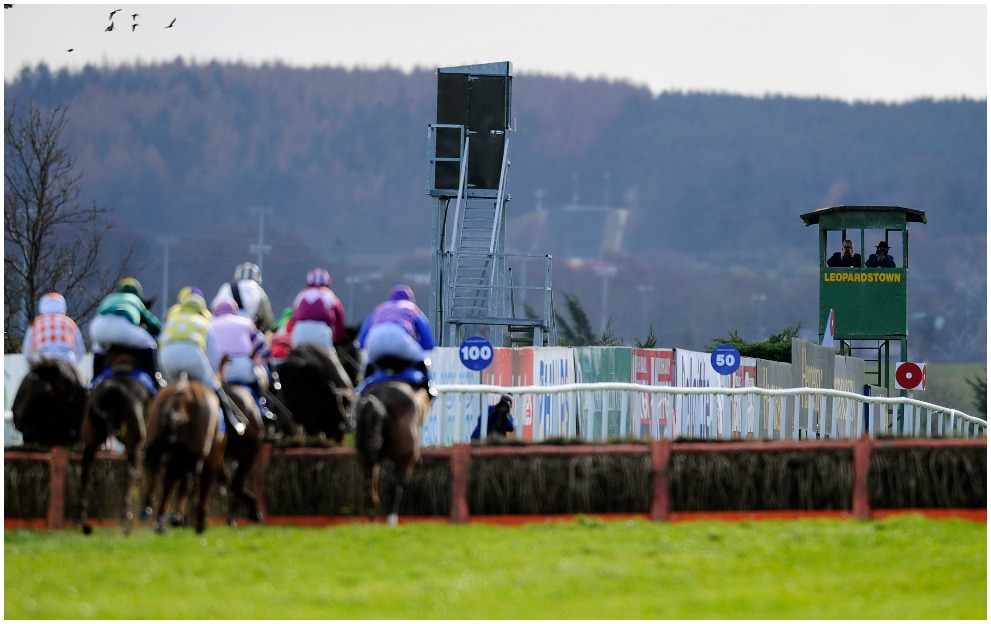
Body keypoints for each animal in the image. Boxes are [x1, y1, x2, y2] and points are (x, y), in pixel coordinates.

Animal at [76, 346, 153, 536]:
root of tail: (114, 387)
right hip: (134, 441)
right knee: (131, 474)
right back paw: (127, 518)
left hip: (90, 437)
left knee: (86, 473)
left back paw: (81, 518)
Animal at [141, 372, 225, 532]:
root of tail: (184, 391)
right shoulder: (212, 462)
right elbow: (202, 488)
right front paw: (199, 522)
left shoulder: (171, 458)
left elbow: (168, 483)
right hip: (197, 452)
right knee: (188, 479)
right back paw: (177, 517)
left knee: (156, 473)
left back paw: (151, 513)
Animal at [352, 380, 430, 528]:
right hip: (404, 459)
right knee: (396, 488)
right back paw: (391, 520)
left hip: (364, 458)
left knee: (369, 487)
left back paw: (373, 518)